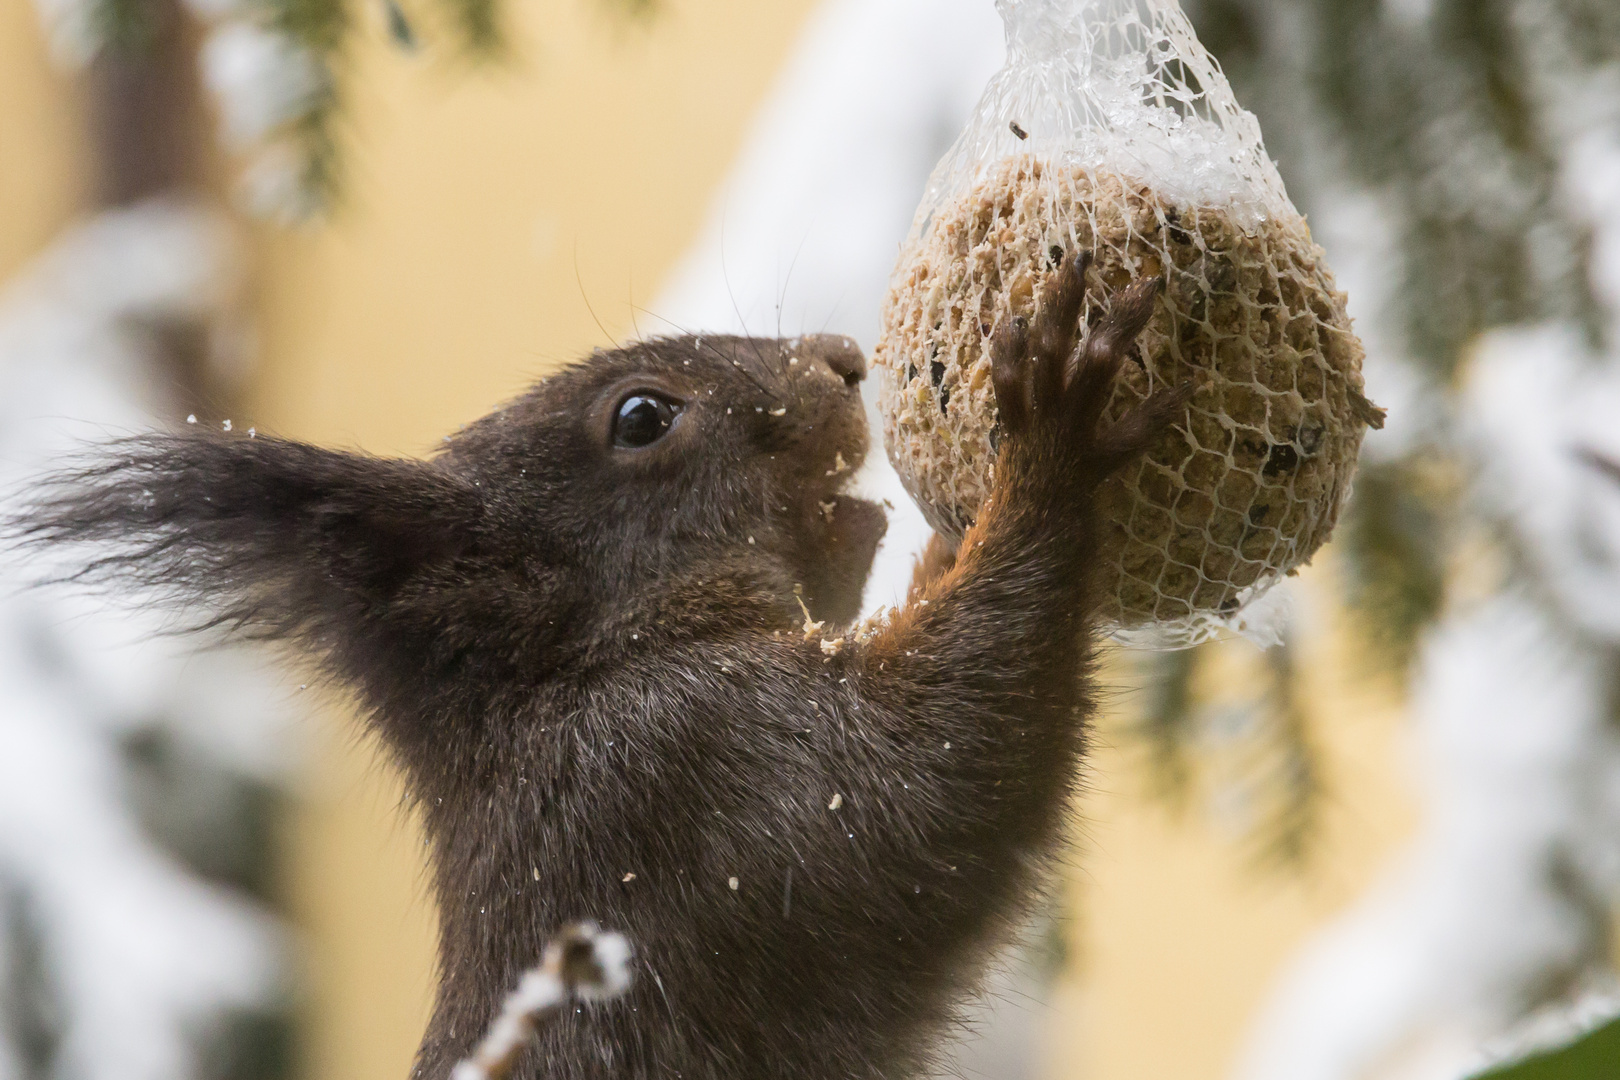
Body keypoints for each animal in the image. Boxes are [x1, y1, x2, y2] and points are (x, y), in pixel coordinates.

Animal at [19, 254, 1192, 1080]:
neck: (572, 676)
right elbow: (949, 773)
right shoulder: (696, 771)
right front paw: (1049, 445)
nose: (841, 355)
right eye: (641, 417)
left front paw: (959, 532)